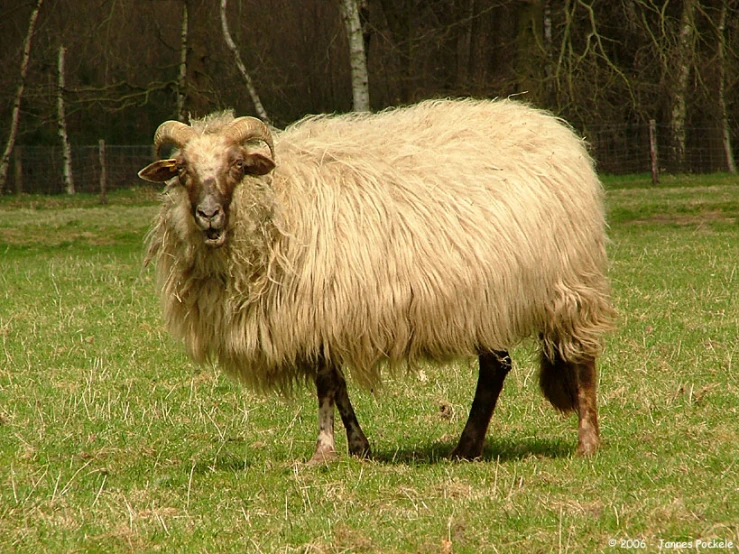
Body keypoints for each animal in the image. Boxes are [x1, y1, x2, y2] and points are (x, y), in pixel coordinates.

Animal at [140, 97, 620, 460]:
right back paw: (466, 449)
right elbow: (335, 383)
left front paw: (325, 452)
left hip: (569, 286)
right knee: (495, 369)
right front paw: (358, 448)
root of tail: (557, 131)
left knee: (581, 361)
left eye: (238, 164)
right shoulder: (321, 317)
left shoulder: (317, 308)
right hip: (488, 300)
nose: (208, 215)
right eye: (182, 170)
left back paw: (587, 444)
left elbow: (326, 384)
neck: (281, 199)